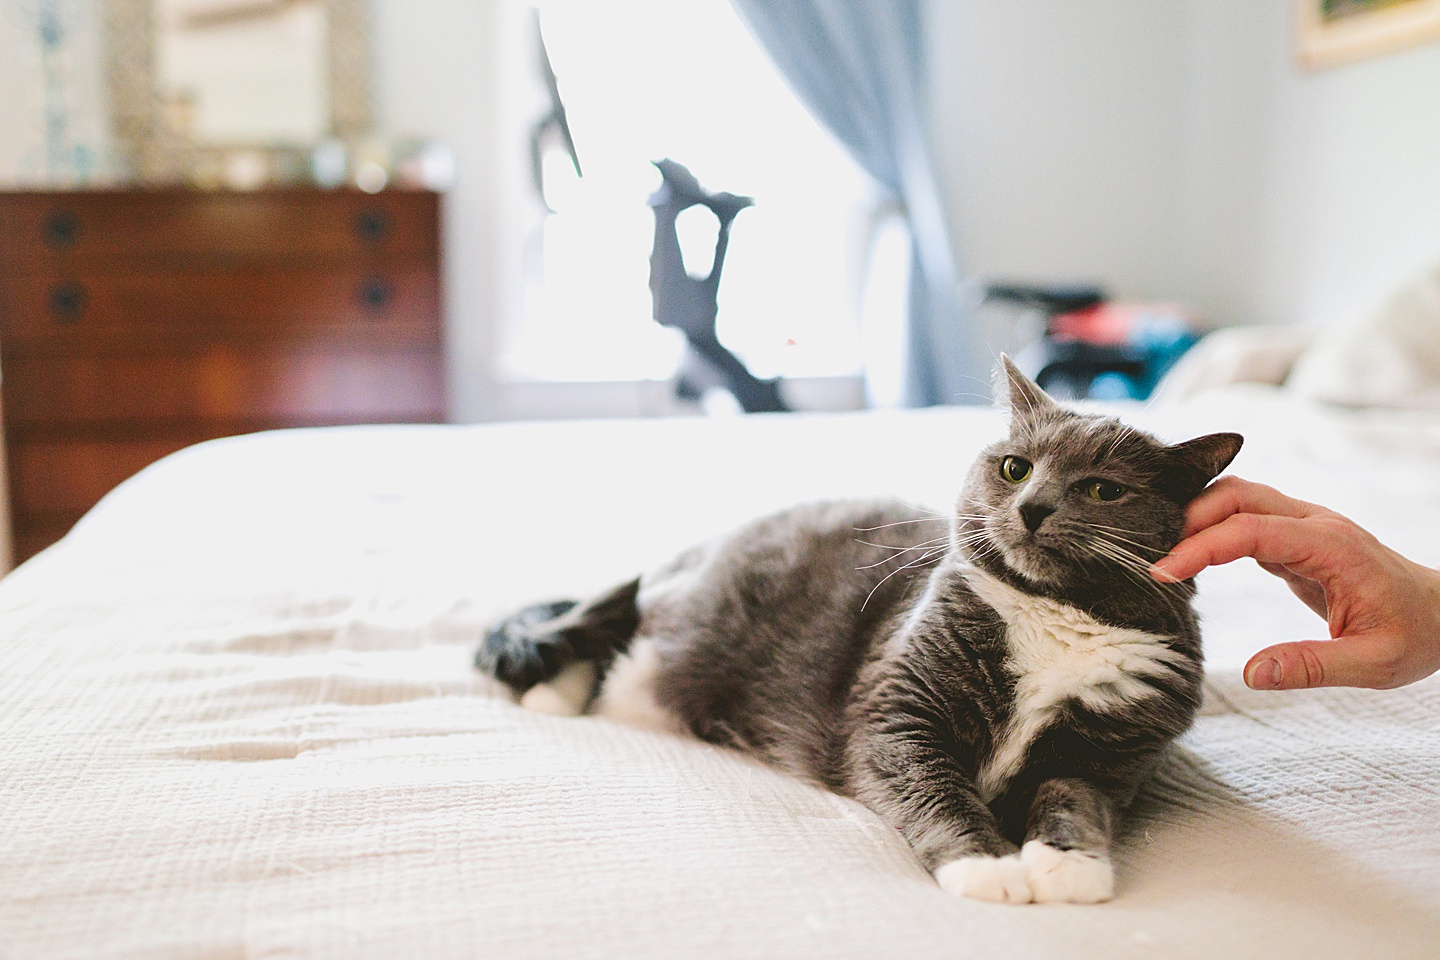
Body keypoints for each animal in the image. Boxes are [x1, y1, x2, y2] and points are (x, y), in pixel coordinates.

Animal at [478, 356, 1244, 903]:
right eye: (1014, 467)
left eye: (1102, 489)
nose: (1032, 507)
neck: (1059, 615)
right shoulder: (897, 710)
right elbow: (935, 788)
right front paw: (987, 868)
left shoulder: (1109, 754)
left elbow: (1076, 801)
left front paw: (1068, 865)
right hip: (687, 620)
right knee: (609, 625)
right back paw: (553, 694)